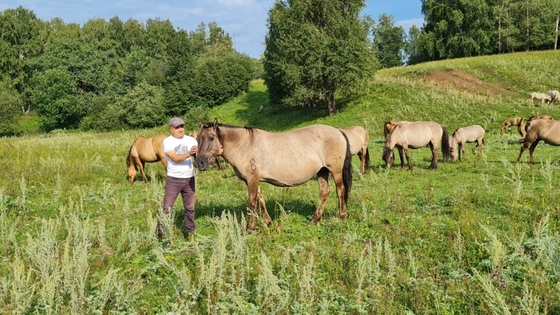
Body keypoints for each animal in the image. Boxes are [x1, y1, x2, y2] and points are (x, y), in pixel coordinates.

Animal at [192, 119, 350, 233]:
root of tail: (338, 131)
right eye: (198, 138)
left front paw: (249, 228)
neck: (244, 145)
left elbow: (252, 203)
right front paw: (268, 222)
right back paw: (314, 220)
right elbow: (260, 199)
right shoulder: (253, 180)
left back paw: (341, 217)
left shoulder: (252, 180)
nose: (199, 163)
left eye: (211, 138)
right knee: (324, 192)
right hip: (322, 171)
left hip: (335, 171)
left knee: (340, 190)